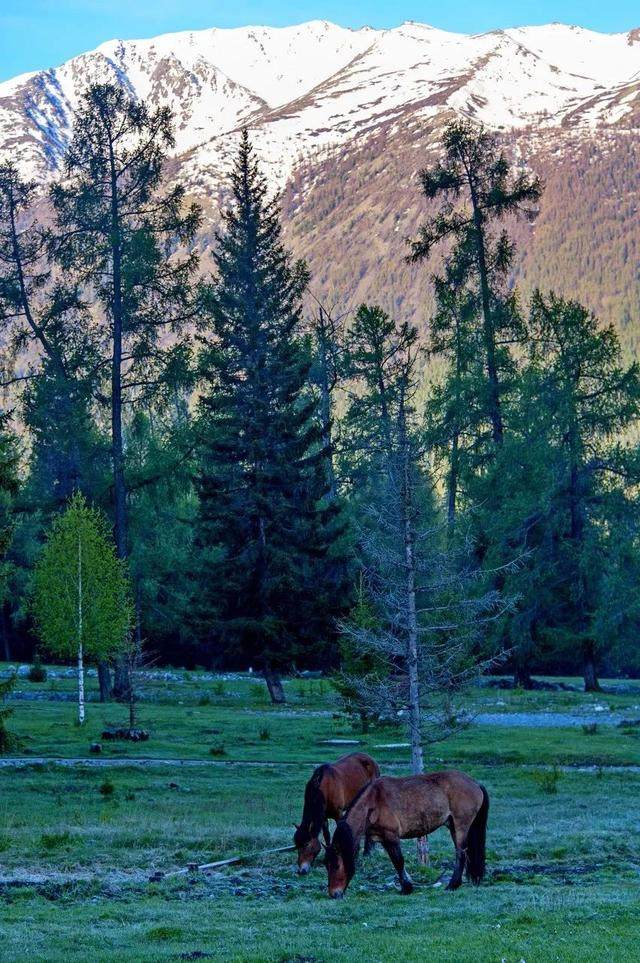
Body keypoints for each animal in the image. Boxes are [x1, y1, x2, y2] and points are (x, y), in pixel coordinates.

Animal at [294, 748, 380, 876]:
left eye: (306, 844)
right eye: (297, 846)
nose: (301, 871)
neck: (323, 789)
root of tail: (371, 759)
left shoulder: (338, 814)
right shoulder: (323, 817)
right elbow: (327, 835)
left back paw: (367, 852)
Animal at [328, 772, 488, 900]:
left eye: (336, 865)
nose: (333, 894)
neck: (373, 801)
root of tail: (475, 783)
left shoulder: (392, 836)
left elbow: (399, 861)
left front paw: (407, 888)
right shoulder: (384, 839)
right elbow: (395, 862)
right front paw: (406, 886)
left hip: (461, 826)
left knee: (460, 854)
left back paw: (452, 885)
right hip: (453, 827)